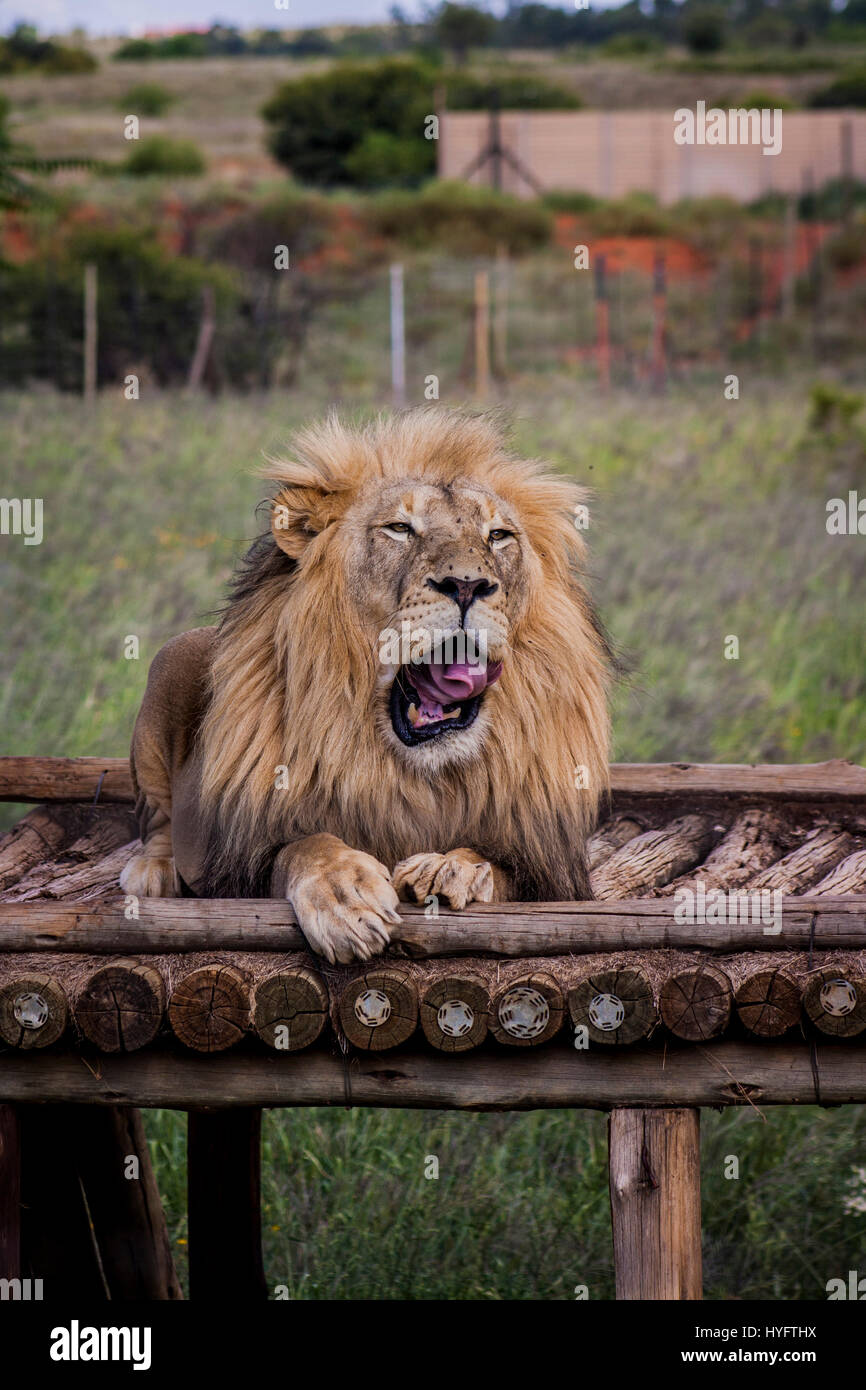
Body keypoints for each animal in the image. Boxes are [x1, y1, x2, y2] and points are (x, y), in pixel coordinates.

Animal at [120, 409, 611, 963]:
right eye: (399, 528)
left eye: (499, 535)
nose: (467, 585)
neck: (417, 773)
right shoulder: (239, 866)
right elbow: (304, 845)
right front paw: (345, 896)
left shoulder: (549, 874)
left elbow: (498, 865)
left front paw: (453, 868)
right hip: (165, 674)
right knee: (157, 822)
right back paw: (153, 873)